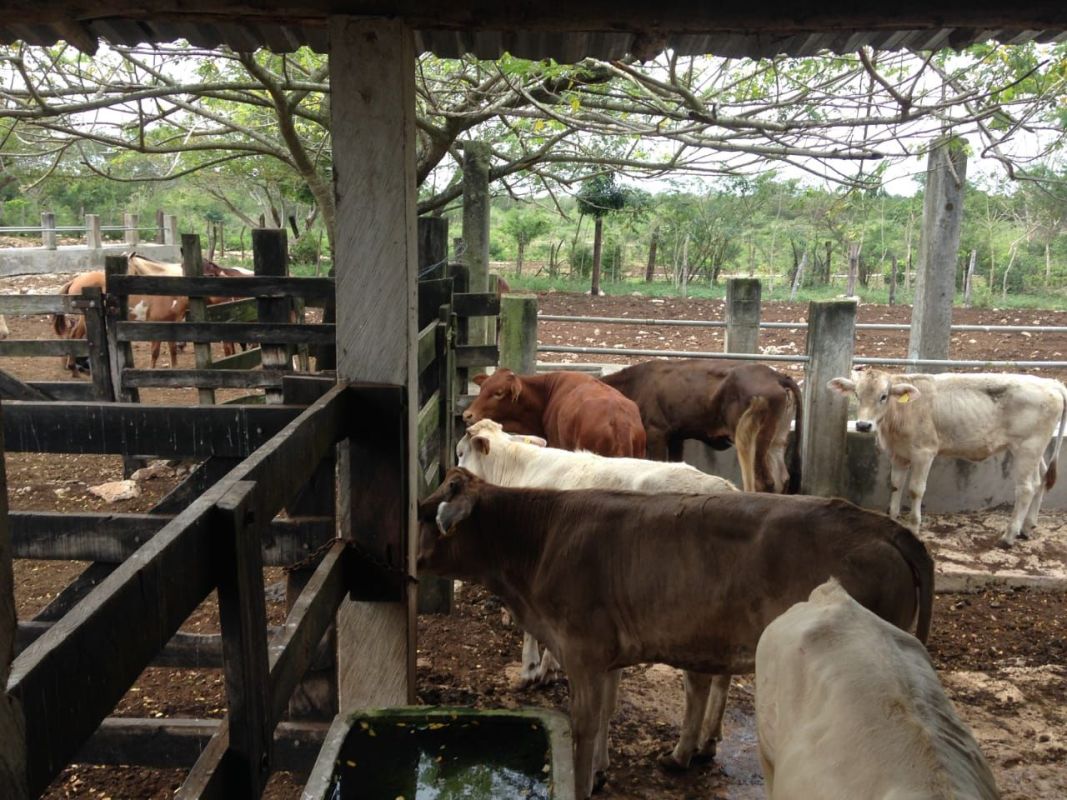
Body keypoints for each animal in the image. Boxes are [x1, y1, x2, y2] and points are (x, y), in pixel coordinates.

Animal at [52, 270, 188, 371]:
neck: (171, 296)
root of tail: (75, 280)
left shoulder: (170, 325)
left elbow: (173, 349)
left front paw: (175, 368)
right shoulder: (156, 325)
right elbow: (155, 351)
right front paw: (151, 369)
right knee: (75, 336)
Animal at [418, 468, 933, 799]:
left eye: (425, 514)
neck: (542, 541)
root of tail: (877, 523)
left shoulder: (582, 652)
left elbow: (584, 725)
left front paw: (585, 781)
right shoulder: (605, 657)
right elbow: (605, 715)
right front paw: (602, 771)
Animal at [600, 360, 802, 493]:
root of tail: (776, 375)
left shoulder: (656, 433)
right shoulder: (676, 437)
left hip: (755, 440)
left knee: (764, 481)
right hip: (776, 440)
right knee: (782, 477)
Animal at [829, 368, 1067, 547]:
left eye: (883, 396)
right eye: (857, 394)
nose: (863, 425)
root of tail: (1051, 383)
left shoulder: (924, 453)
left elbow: (915, 490)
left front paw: (914, 526)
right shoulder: (899, 454)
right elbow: (895, 485)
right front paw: (892, 519)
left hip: (1027, 448)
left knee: (1026, 488)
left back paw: (1009, 536)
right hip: (1034, 451)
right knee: (1041, 480)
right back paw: (1027, 527)